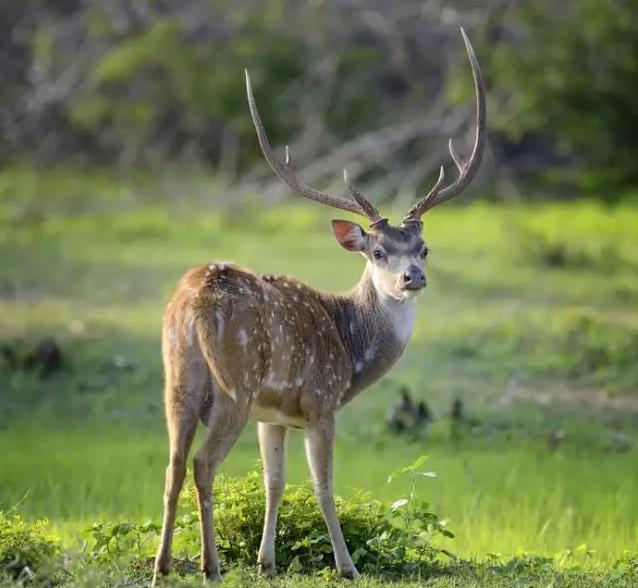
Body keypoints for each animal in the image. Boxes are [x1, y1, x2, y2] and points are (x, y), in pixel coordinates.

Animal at [154, 27, 484, 584]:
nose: (412, 278)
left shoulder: (273, 416)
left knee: (173, 462)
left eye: (423, 249)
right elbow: (324, 486)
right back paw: (209, 566)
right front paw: (346, 566)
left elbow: (275, 482)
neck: (350, 346)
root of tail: (196, 302)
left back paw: (161, 566)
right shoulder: (320, 401)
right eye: (378, 252)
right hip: (235, 384)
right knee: (202, 463)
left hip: (177, 378)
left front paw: (266, 562)